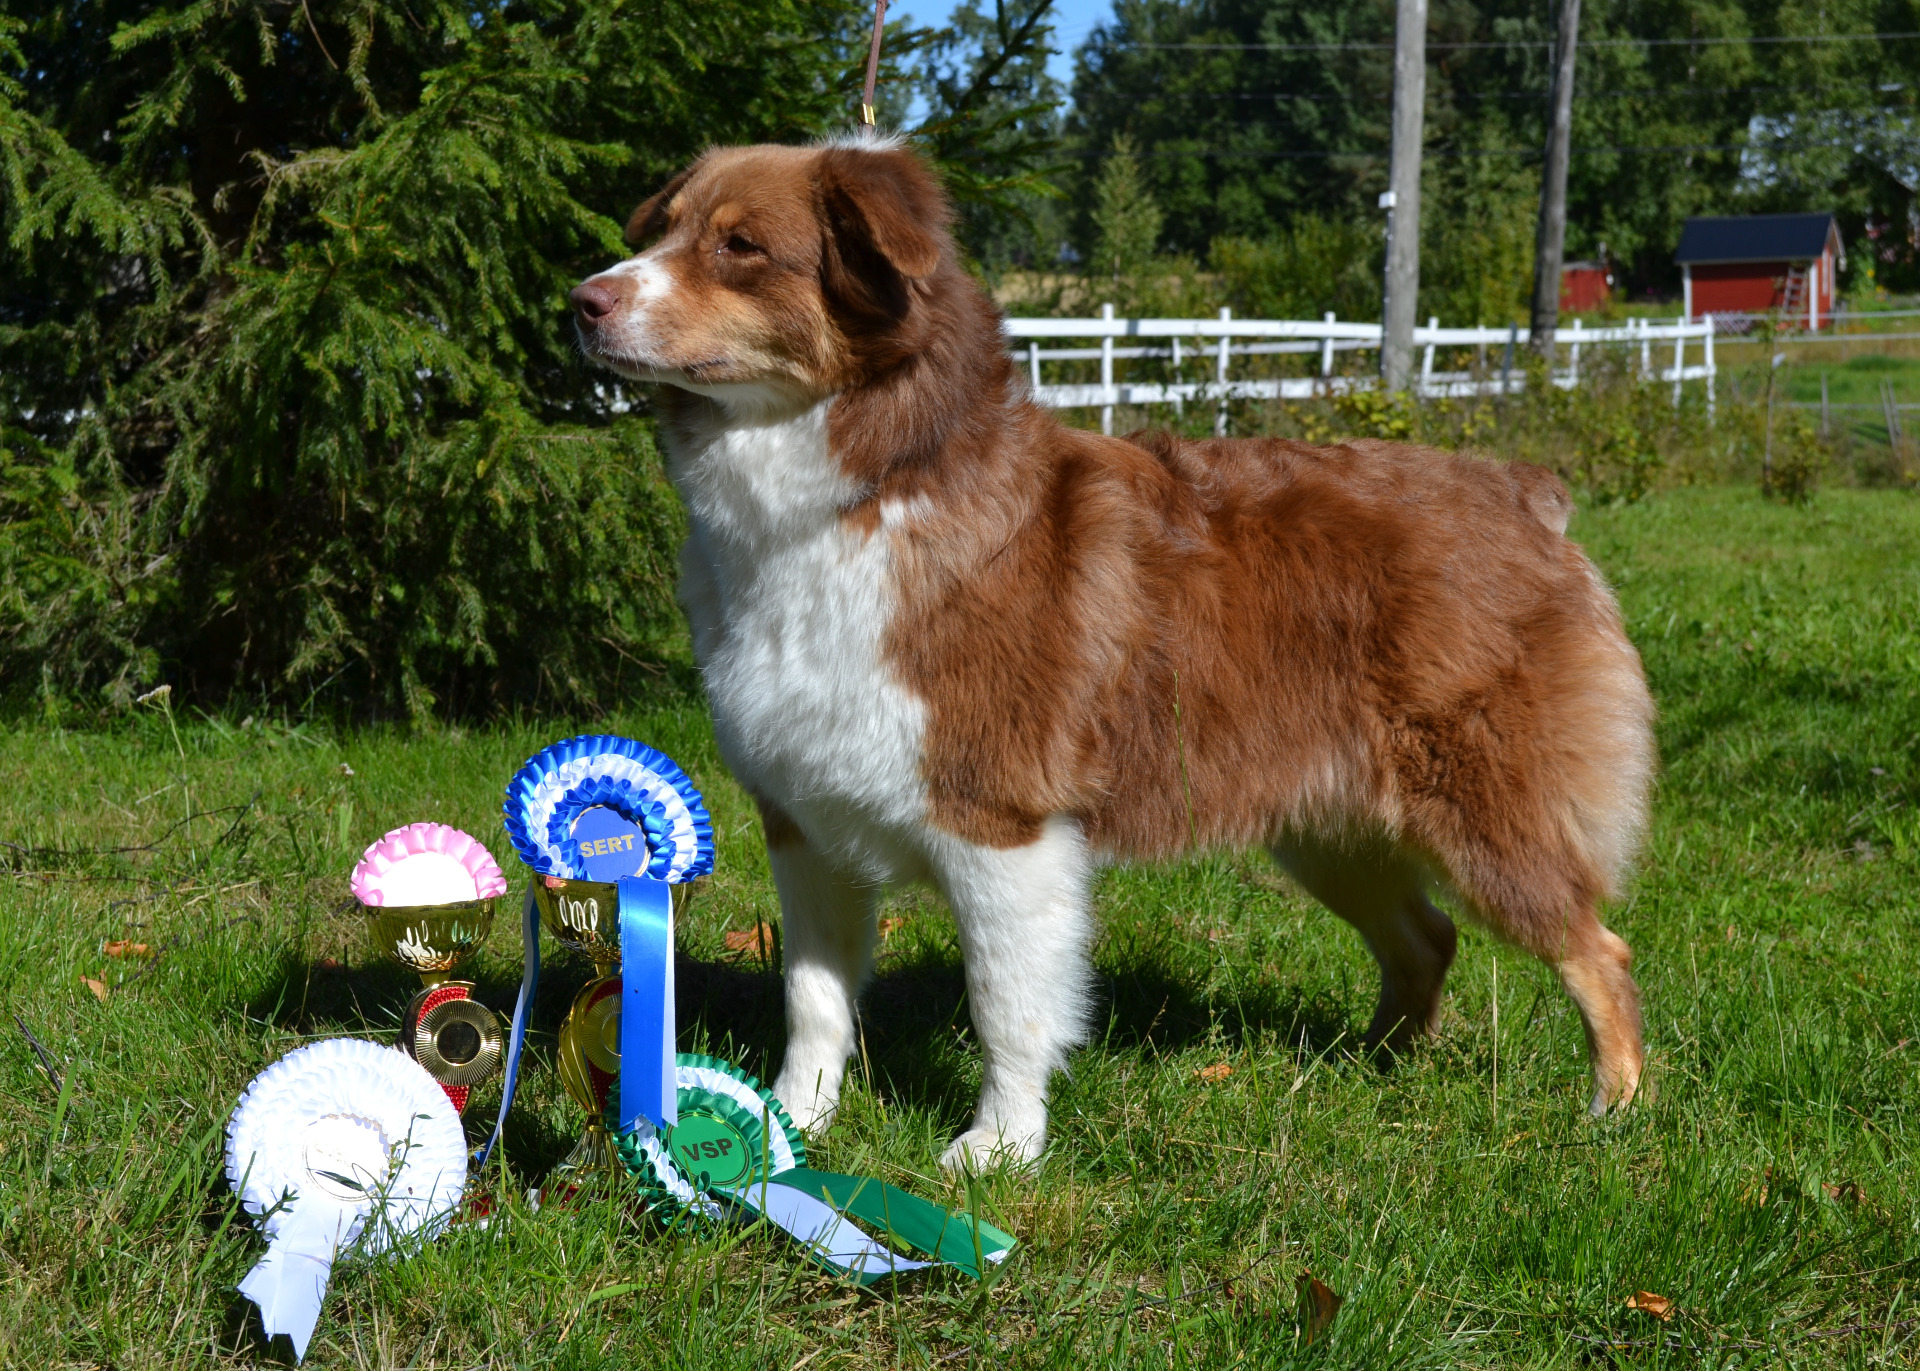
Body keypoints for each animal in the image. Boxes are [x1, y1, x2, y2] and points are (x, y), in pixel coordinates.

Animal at [569, 136, 1656, 1170]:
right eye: (662, 228)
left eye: (741, 247)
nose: (582, 302)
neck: (865, 486)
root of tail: (1523, 491)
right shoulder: (806, 819)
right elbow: (814, 997)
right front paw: (786, 1127)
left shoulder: (998, 821)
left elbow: (1008, 1004)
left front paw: (998, 1150)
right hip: (1328, 824)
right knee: (1427, 937)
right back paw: (1377, 1069)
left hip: (1484, 813)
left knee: (1598, 949)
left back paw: (1612, 1114)